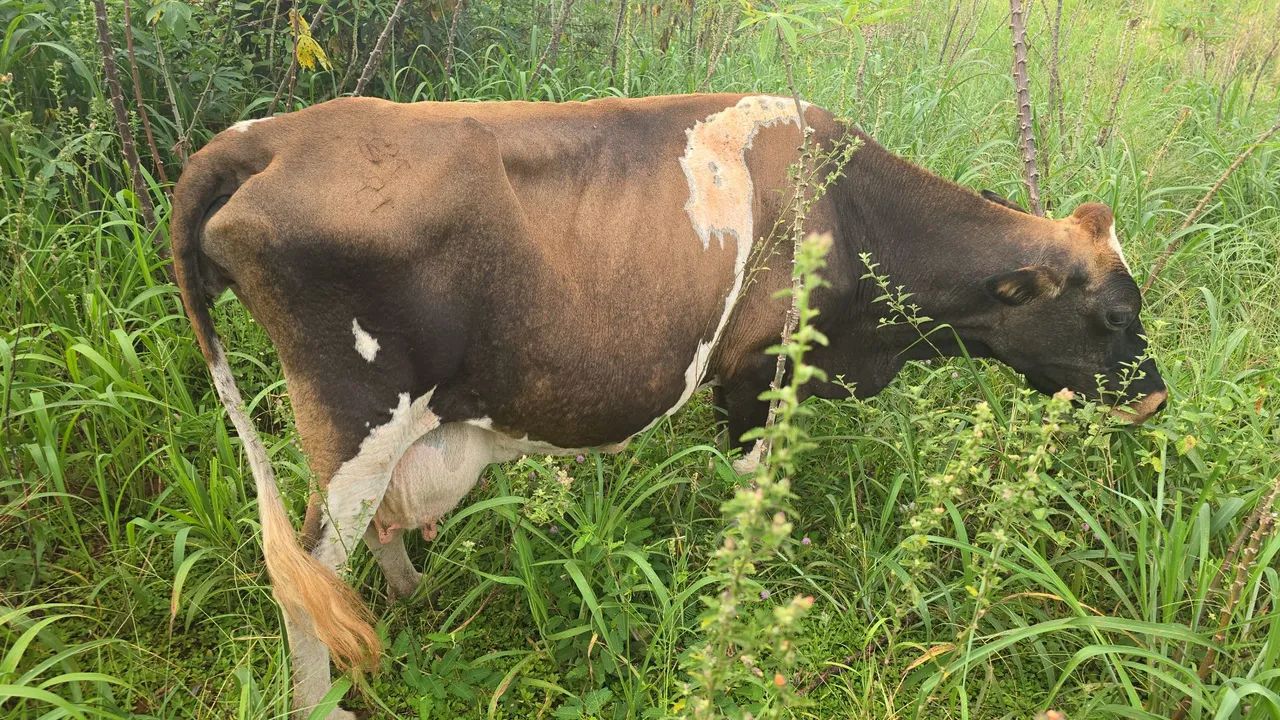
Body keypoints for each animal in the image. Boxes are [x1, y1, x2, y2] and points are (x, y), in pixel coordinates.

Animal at [170, 93, 1166, 717]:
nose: (1155, 399)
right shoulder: (761, 381)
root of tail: (268, 137)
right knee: (304, 572)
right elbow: (752, 509)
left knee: (356, 548)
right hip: (357, 420)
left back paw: (409, 604)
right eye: (1117, 314)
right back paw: (325, 699)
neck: (851, 209)